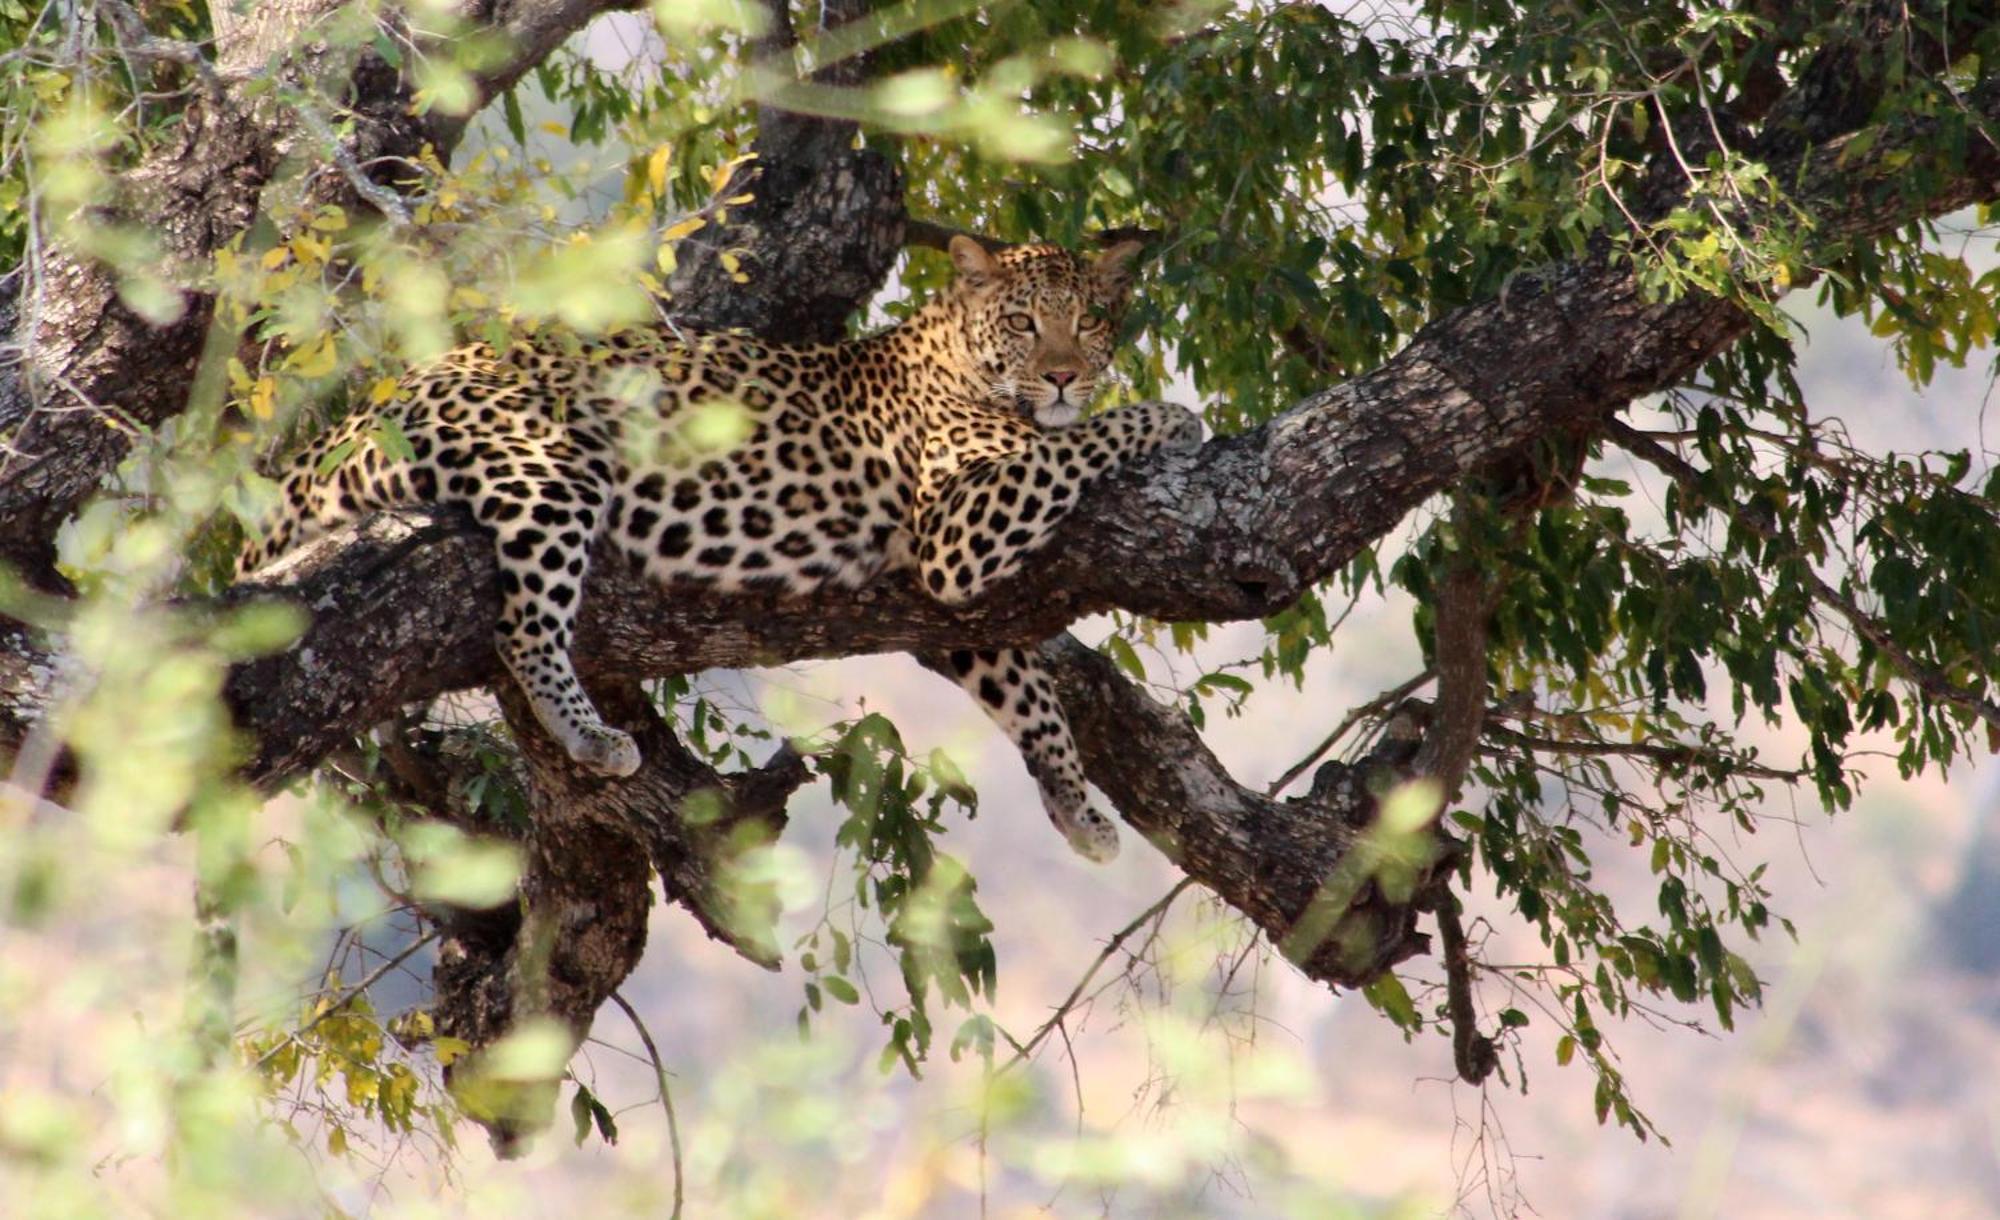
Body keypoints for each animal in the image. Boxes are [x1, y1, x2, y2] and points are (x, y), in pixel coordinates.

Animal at [238, 238, 1200, 860]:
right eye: (1025, 323)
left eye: (1091, 319)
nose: (1067, 374)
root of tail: (386, 395)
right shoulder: (956, 529)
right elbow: (1075, 443)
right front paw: (1169, 418)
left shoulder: (947, 602)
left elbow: (1033, 700)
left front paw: (1076, 807)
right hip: (546, 466)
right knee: (524, 626)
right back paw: (593, 737)